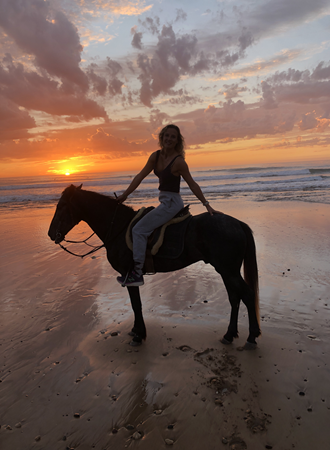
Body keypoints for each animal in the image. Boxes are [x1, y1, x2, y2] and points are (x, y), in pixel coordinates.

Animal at [48, 185, 260, 350]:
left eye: (62, 206)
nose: (51, 233)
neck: (118, 227)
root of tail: (237, 223)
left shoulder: (129, 274)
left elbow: (136, 304)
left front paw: (139, 335)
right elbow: (135, 304)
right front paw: (136, 330)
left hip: (229, 271)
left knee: (248, 295)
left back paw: (251, 337)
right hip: (226, 271)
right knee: (235, 298)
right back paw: (229, 334)